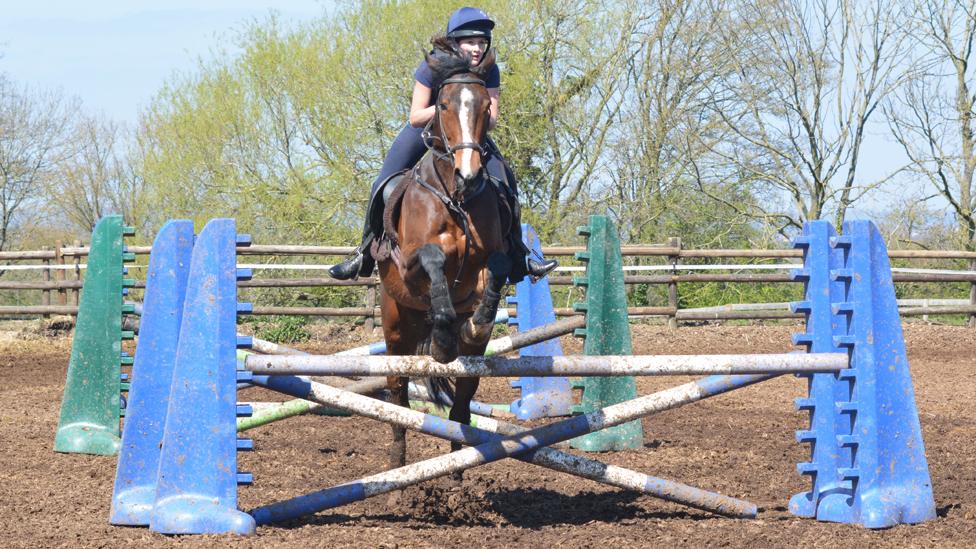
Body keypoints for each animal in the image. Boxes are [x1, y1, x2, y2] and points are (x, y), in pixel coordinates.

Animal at [374, 42, 510, 470]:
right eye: (445, 105)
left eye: (485, 106)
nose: (470, 175)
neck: (457, 198)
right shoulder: (409, 263)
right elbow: (434, 263)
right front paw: (444, 342)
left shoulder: (491, 258)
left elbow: (497, 269)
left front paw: (474, 325)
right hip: (395, 328)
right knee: (397, 395)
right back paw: (397, 463)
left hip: (469, 363)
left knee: (462, 405)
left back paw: (457, 464)